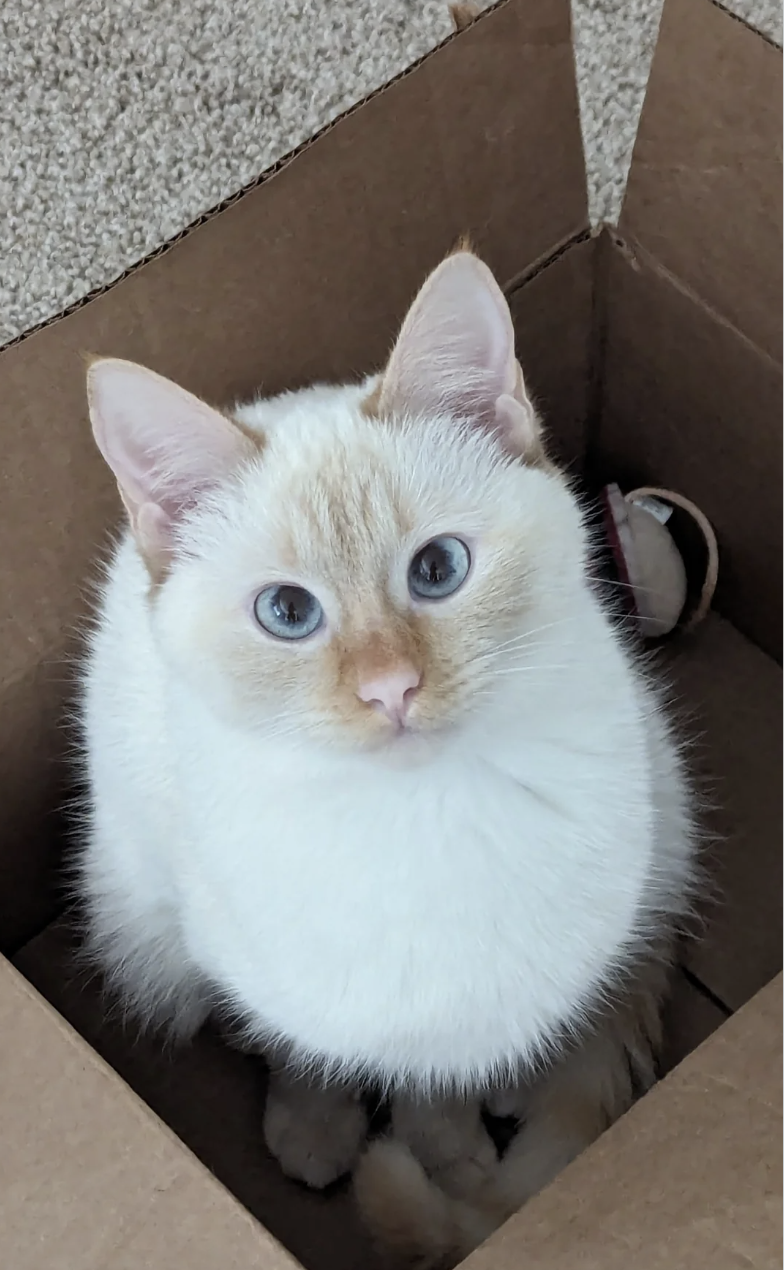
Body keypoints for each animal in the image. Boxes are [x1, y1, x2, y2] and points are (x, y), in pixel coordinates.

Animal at [79, 247, 691, 1259]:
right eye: (287, 612)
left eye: (437, 569)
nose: (389, 689)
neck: (414, 820)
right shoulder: (269, 964)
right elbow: (308, 1047)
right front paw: (318, 1122)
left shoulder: (496, 979)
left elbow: (436, 1077)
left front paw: (443, 1146)